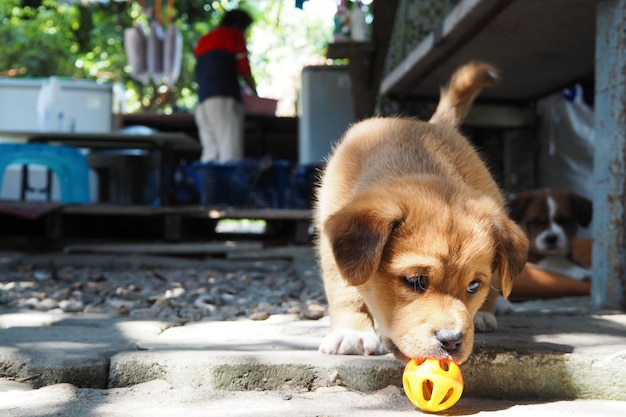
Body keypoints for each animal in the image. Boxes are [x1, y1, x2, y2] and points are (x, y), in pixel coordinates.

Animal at [312, 61, 528, 364]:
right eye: (415, 281)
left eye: (473, 286)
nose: (451, 341)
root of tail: (432, 124)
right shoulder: (331, 246)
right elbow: (345, 291)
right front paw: (352, 332)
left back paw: (484, 314)